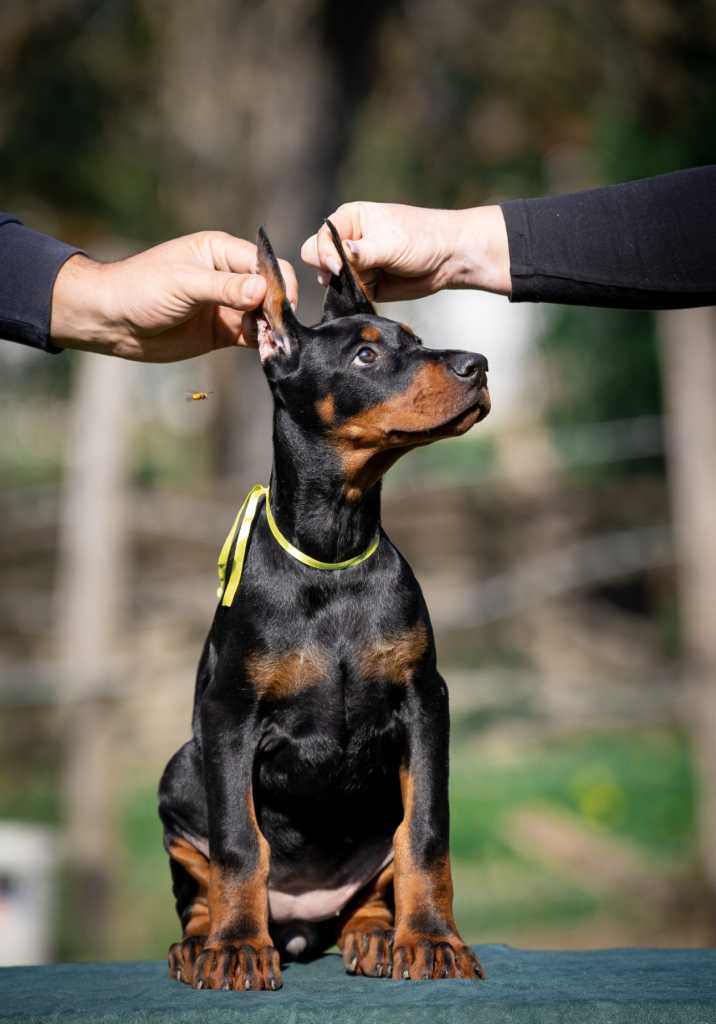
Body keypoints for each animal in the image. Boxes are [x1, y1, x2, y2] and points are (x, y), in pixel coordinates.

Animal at [158, 224, 489, 991]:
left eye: (415, 337)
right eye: (365, 354)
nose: (479, 364)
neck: (333, 553)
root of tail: (302, 923)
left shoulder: (424, 701)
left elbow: (425, 831)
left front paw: (433, 939)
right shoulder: (229, 713)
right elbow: (239, 843)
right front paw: (236, 949)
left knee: (375, 881)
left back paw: (375, 934)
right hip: (181, 772)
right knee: (201, 880)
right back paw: (202, 942)